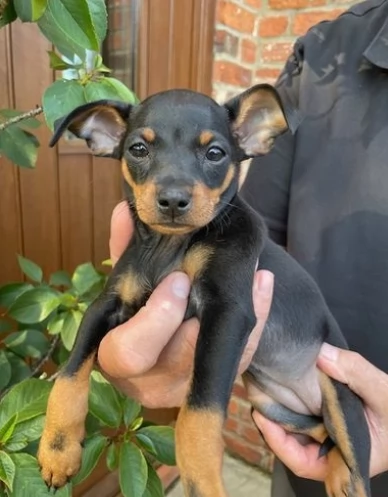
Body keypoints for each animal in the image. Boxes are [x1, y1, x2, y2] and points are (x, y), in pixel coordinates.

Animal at [38, 86, 372, 496]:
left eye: (215, 153)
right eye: (138, 149)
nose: (173, 200)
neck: (170, 248)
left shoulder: (227, 313)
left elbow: (200, 410)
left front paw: (202, 480)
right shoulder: (106, 304)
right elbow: (69, 374)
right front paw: (58, 449)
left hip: (341, 397)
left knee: (354, 457)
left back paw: (347, 478)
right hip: (275, 410)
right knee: (326, 435)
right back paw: (337, 475)